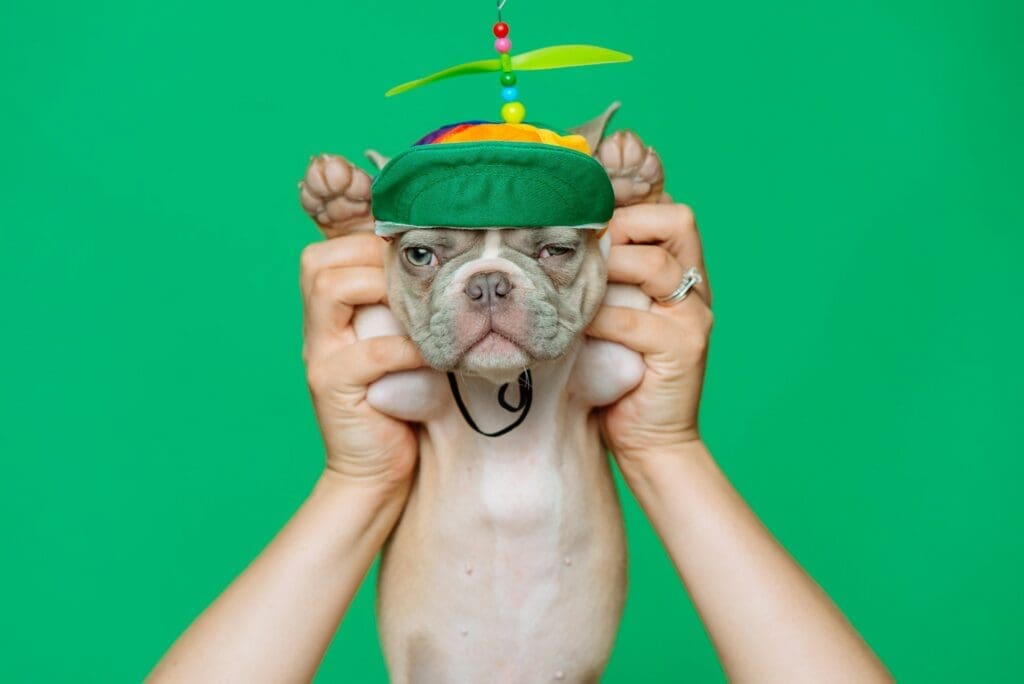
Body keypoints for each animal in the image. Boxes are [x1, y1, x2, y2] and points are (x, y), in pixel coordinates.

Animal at [299, 104, 663, 679]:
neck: (497, 385)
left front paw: (627, 181)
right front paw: (342, 208)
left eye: (556, 249)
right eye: (419, 254)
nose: (488, 282)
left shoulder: (617, 359)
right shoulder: (389, 372)